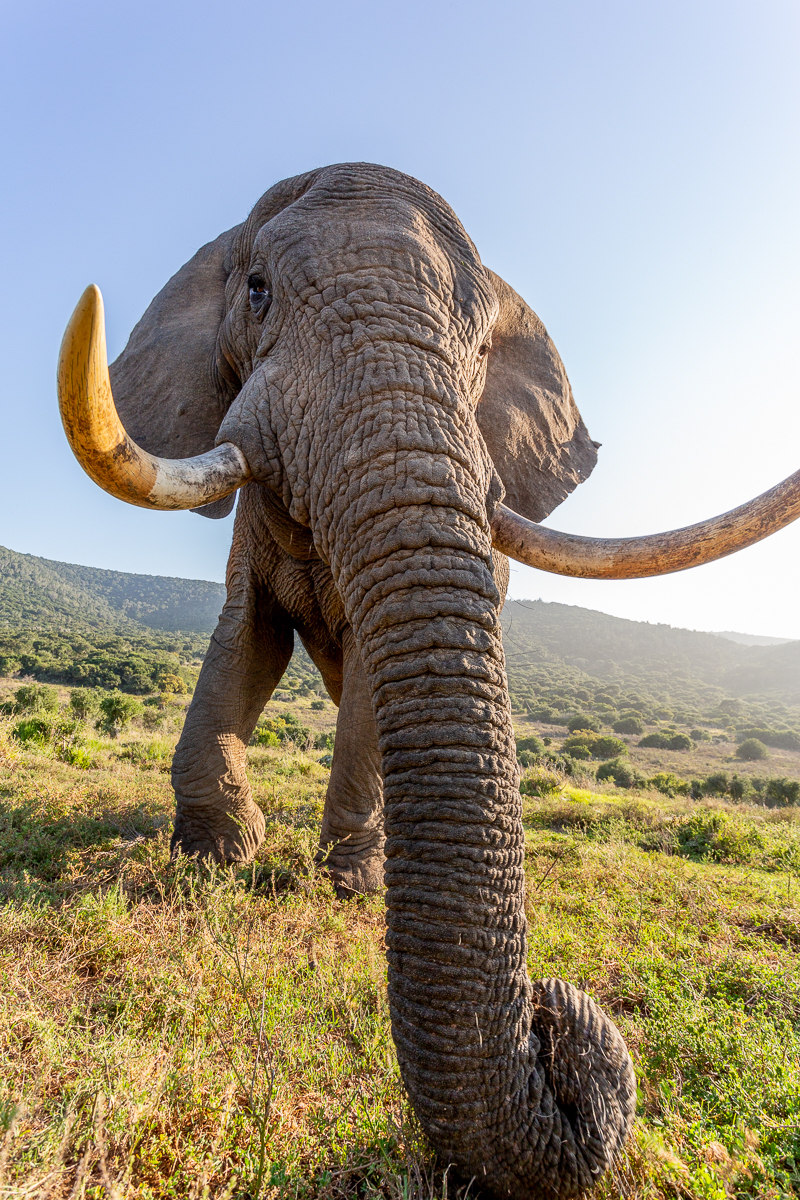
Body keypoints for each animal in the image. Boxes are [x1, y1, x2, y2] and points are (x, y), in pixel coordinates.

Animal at [56, 162, 800, 1200]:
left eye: (480, 346)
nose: (553, 1019)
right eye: (258, 293)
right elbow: (243, 645)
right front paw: (215, 860)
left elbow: (373, 682)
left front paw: (349, 886)